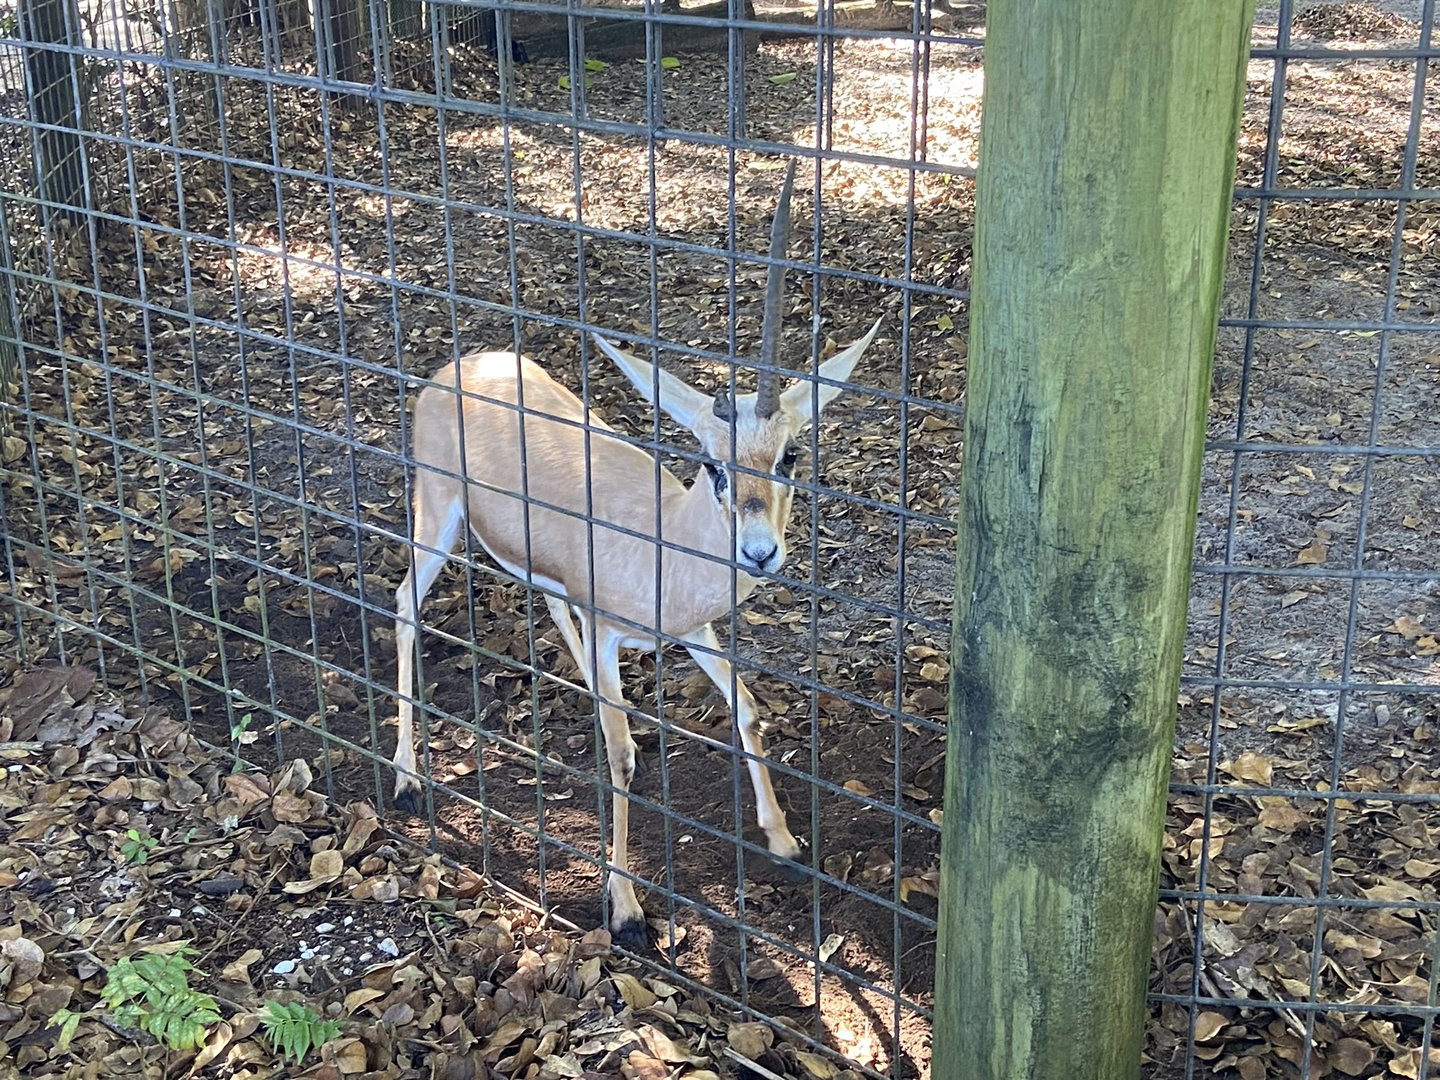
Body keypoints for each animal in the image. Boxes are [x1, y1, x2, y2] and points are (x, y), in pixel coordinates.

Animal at [391, 161, 882, 946]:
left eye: (789, 456)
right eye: (712, 465)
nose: (759, 553)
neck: (665, 536)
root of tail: (456, 369)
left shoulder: (696, 628)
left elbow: (746, 709)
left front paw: (783, 840)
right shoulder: (615, 631)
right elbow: (618, 757)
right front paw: (625, 909)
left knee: (549, 605)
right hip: (437, 516)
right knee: (406, 604)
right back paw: (408, 781)